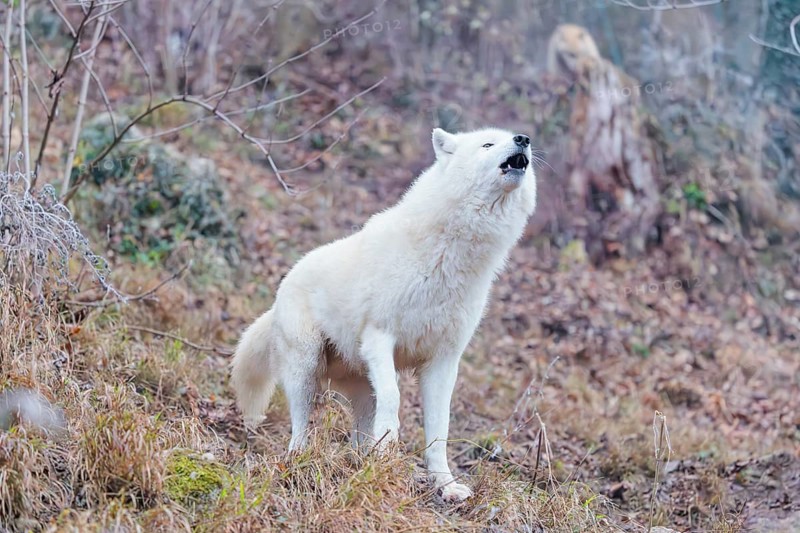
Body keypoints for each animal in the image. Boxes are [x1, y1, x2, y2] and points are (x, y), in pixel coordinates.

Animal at [231, 127, 536, 501]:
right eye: (488, 144)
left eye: (508, 138)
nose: (523, 139)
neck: (449, 256)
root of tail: (278, 295)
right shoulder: (380, 337)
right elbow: (395, 397)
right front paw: (390, 447)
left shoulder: (444, 361)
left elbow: (440, 429)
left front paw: (445, 485)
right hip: (305, 371)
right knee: (301, 426)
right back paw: (300, 461)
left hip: (361, 389)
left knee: (357, 437)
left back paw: (362, 464)